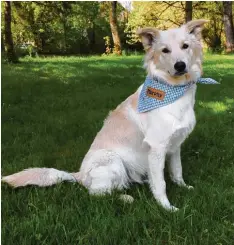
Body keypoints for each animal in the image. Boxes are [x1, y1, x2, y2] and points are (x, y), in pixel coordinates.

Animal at [2, 19, 210, 211]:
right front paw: (167, 208)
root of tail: (79, 175)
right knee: (97, 194)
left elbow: (177, 171)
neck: (174, 90)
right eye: (165, 50)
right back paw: (125, 198)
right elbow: (161, 184)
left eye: (185, 46)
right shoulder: (157, 148)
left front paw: (184, 187)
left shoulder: (174, 147)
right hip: (112, 160)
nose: (180, 65)